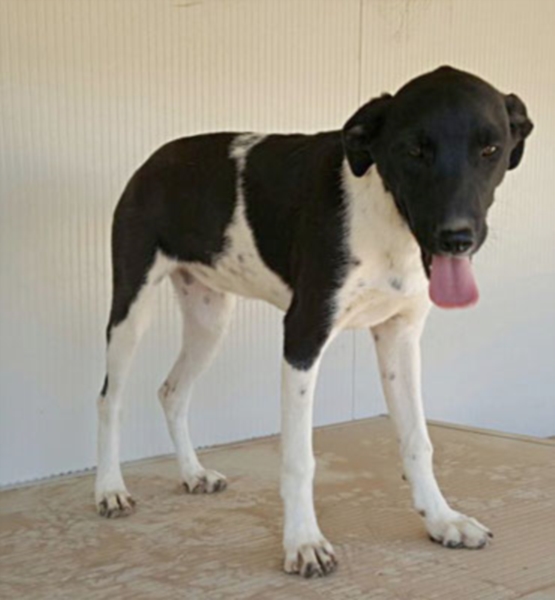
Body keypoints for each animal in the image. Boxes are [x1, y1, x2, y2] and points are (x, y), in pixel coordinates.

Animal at [95, 66, 533, 577]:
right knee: (110, 399)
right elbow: (299, 459)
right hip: (131, 306)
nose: (456, 238)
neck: (383, 218)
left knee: (172, 391)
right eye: (413, 150)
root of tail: (155, 158)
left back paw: (192, 473)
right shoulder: (303, 334)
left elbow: (417, 441)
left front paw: (442, 520)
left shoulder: (399, 336)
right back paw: (109, 489)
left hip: (209, 318)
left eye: (490, 150)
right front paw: (303, 542)